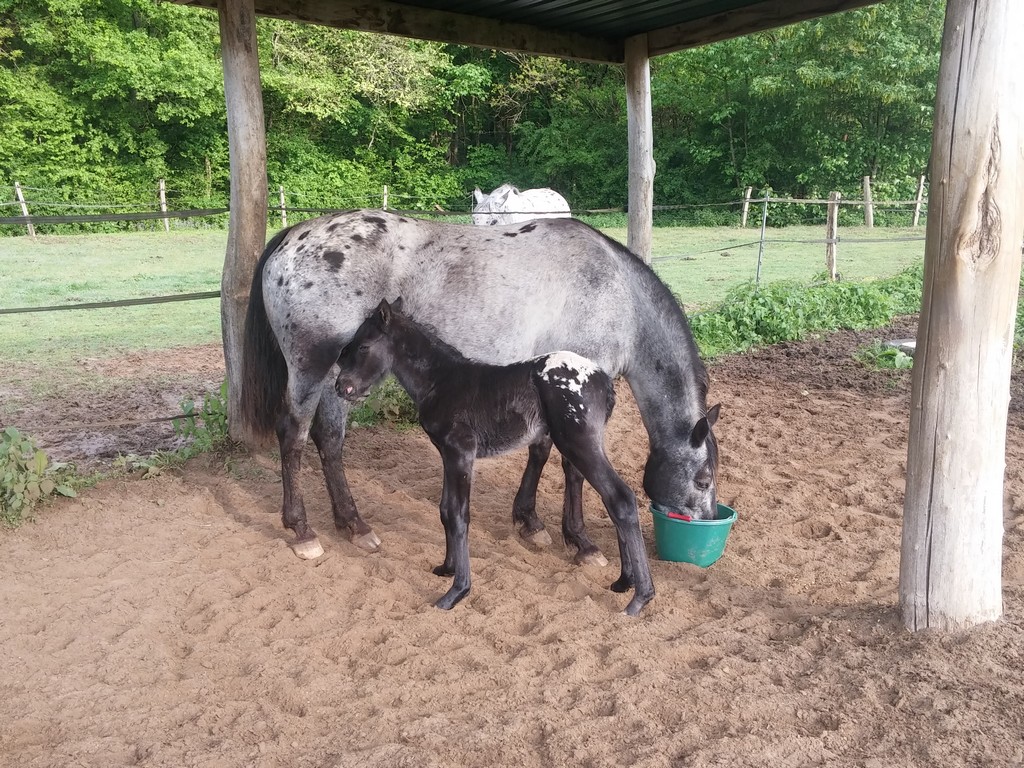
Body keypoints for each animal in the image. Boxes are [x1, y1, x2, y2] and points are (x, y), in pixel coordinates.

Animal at [240, 209, 719, 564]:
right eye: (703, 479)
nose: (708, 520)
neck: (615, 292)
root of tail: (293, 236)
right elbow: (571, 467)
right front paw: (580, 542)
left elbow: (540, 450)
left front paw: (529, 522)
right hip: (312, 369)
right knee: (294, 436)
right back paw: (303, 531)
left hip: (342, 382)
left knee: (330, 440)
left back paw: (354, 525)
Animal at [334, 299, 655, 615]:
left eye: (364, 346)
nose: (341, 386)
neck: (440, 381)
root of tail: (604, 381)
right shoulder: (447, 455)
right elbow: (444, 510)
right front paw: (447, 568)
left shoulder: (461, 452)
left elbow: (459, 515)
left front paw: (456, 592)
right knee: (612, 499)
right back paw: (623, 581)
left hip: (579, 443)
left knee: (621, 498)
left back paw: (639, 598)